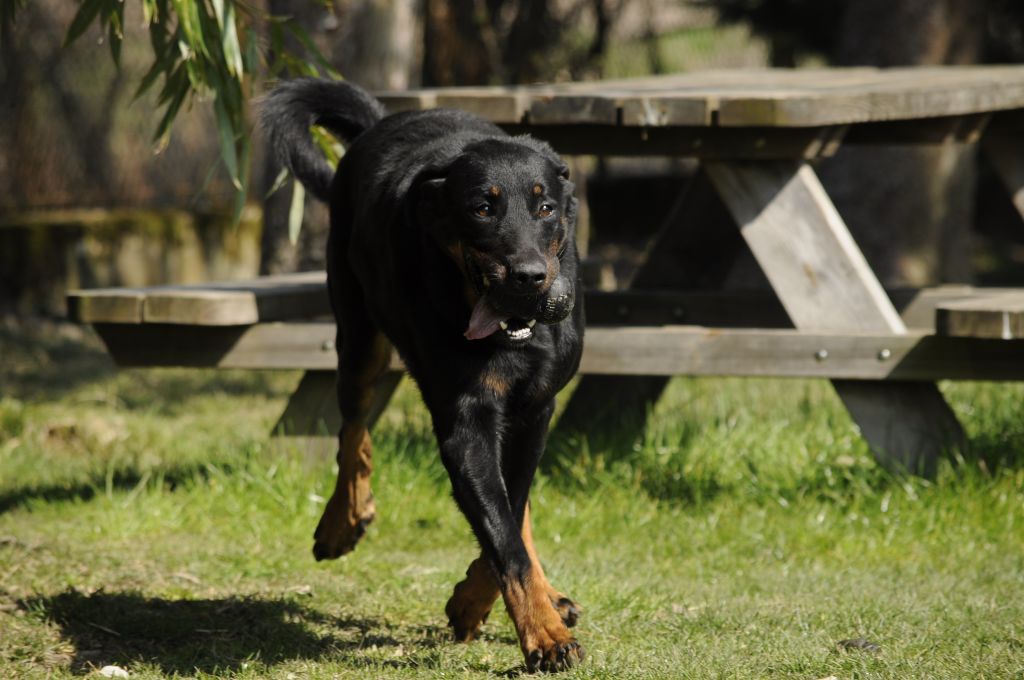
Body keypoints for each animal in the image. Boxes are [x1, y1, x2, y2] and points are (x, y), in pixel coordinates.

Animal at [264, 78, 585, 667]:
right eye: (482, 208)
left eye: (546, 207)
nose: (530, 277)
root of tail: (377, 122)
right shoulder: (464, 422)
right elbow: (503, 537)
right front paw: (544, 637)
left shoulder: (536, 408)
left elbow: (512, 514)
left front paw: (489, 606)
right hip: (357, 330)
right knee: (353, 428)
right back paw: (342, 521)